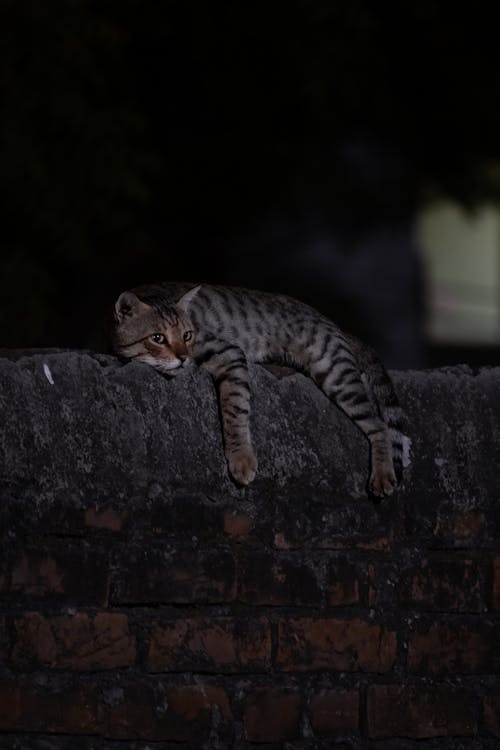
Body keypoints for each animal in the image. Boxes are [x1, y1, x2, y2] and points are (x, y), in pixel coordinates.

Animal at [109, 282, 406, 500]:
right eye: (157, 338)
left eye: (187, 335)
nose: (183, 358)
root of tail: (331, 322)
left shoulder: (229, 353)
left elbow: (235, 410)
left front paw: (241, 459)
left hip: (334, 371)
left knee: (379, 425)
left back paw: (383, 473)